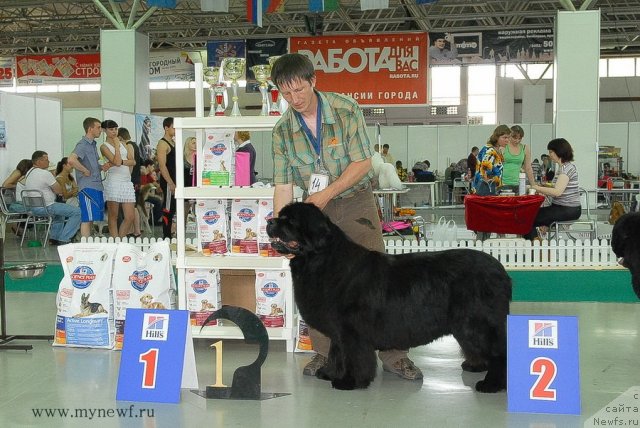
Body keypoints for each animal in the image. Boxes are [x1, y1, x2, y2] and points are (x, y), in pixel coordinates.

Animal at [264, 202, 510, 392]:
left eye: (290, 221)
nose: (269, 221)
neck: (322, 261)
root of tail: (501, 271)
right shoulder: (338, 329)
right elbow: (336, 351)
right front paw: (329, 372)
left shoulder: (352, 329)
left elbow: (353, 355)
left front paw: (349, 381)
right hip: (466, 324)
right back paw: (476, 365)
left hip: (478, 322)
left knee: (500, 352)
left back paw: (492, 384)